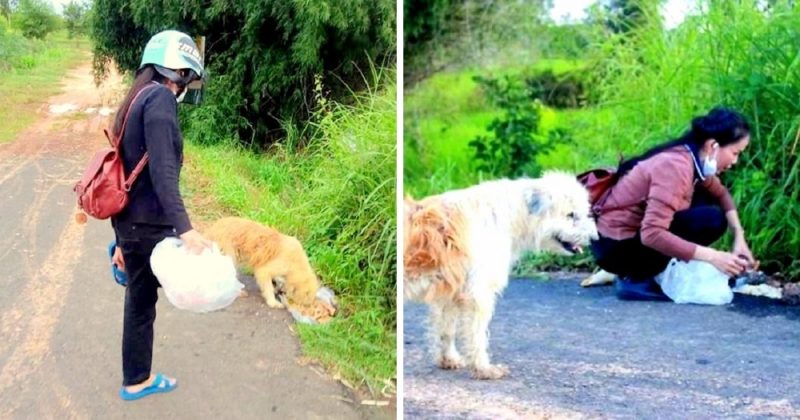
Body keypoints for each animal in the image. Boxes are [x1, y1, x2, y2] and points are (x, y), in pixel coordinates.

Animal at [404, 171, 596, 380]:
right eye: (570, 214)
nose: (595, 238)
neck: (511, 216)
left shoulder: (450, 292)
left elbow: (446, 330)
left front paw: (448, 359)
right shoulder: (477, 294)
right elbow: (477, 335)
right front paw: (483, 368)